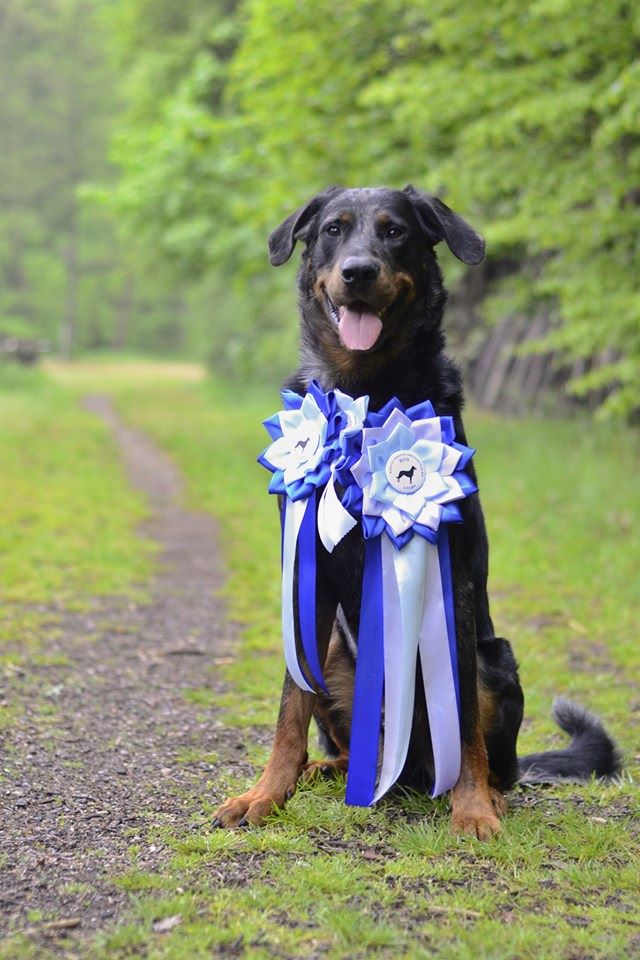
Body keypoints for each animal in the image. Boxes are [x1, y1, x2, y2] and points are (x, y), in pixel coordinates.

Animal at [214, 184, 620, 836]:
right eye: (333, 229)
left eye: (395, 231)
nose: (358, 271)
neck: (368, 393)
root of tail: (404, 772)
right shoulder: (306, 579)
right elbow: (288, 710)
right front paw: (265, 795)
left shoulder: (452, 584)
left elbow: (467, 724)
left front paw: (473, 809)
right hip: (335, 653)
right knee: (352, 746)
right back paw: (325, 770)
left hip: (493, 659)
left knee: (496, 761)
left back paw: (489, 793)